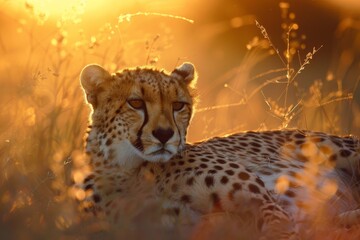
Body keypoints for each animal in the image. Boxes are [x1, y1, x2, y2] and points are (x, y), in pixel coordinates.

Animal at [77, 62, 360, 239]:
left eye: (178, 105)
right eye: (135, 103)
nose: (165, 134)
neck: (133, 171)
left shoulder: (265, 203)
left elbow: (279, 226)